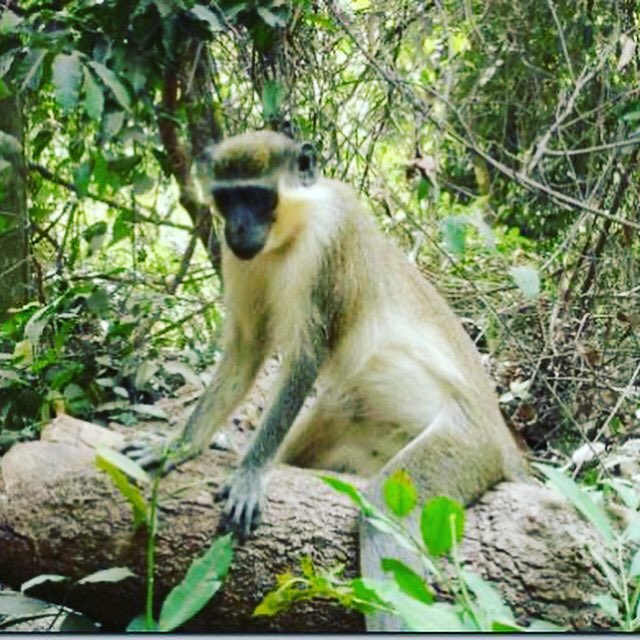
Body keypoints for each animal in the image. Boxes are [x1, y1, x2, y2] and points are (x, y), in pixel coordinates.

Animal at [124, 130, 528, 630]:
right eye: (228, 198)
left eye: (256, 196)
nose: (238, 227)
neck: (291, 232)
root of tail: (504, 442)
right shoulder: (239, 259)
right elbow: (247, 348)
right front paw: (179, 446)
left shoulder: (330, 238)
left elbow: (304, 357)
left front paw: (251, 473)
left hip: (467, 445)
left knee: (383, 516)